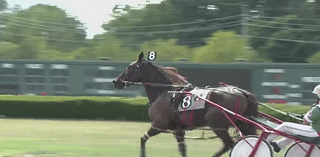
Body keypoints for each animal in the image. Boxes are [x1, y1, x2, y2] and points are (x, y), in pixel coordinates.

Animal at [114, 52, 258, 156]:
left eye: (129, 67)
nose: (115, 81)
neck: (164, 92)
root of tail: (241, 92)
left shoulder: (159, 125)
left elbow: (143, 139)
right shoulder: (179, 130)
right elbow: (182, 149)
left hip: (217, 125)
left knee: (230, 144)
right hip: (242, 124)